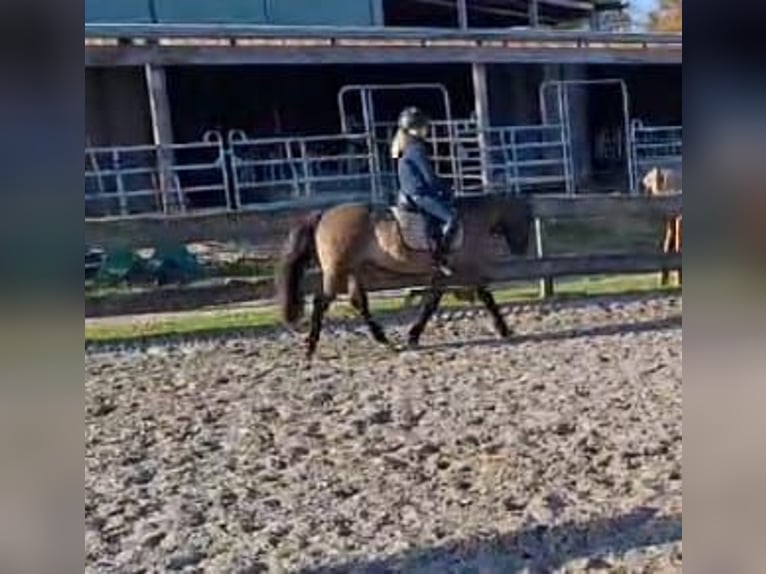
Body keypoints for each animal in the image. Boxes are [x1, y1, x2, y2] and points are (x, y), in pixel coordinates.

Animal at [276, 198, 536, 360]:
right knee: (321, 302)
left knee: (358, 302)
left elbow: (432, 302)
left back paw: (384, 341)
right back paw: (310, 347)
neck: (471, 222)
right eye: (525, 219)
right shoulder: (466, 268)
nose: (521, 249)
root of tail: (323, 215)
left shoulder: (441, 275)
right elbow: (486, 295)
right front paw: (504, 329)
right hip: (337, 270)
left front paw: (413, 335)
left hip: (352, 270)